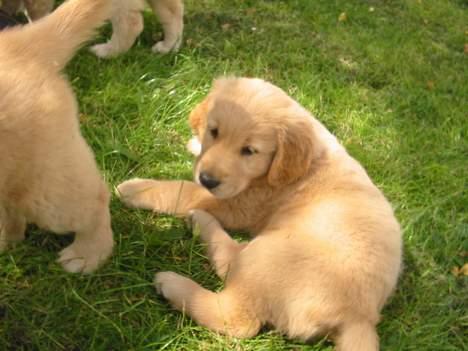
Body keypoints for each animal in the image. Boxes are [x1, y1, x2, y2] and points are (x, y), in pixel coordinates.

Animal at [117, 78, 402, 350]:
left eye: (249, 151)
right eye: (214, 131)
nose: (208, 180)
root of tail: (359, 318)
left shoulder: (237, 203)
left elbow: (182, 190)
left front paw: (134, 189)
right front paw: (195, 143)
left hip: (269, 255)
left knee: (235, 308)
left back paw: (179, 271)